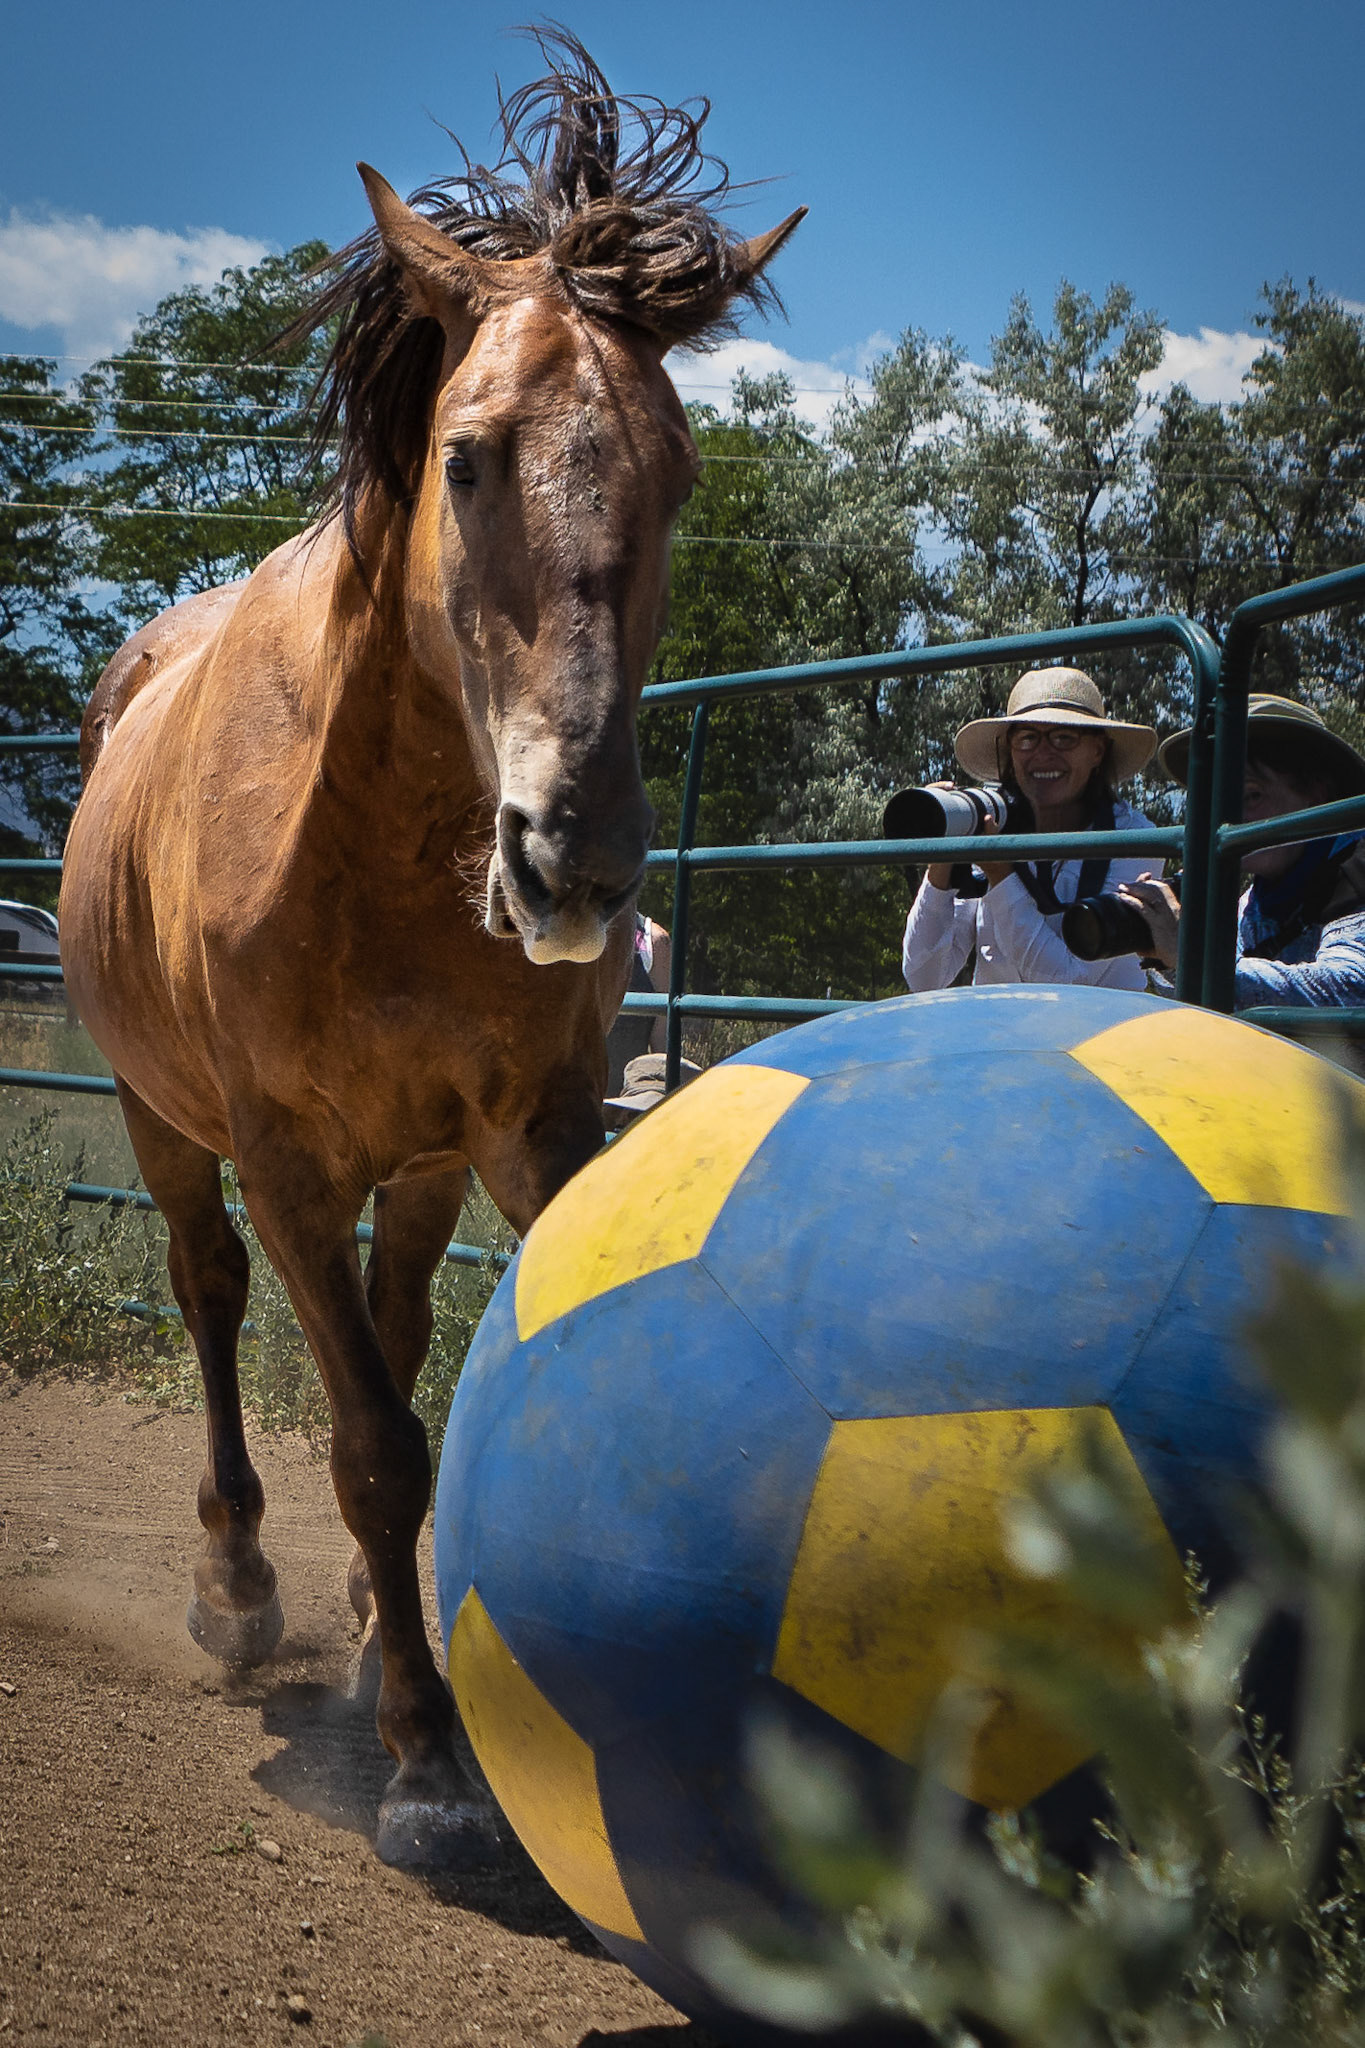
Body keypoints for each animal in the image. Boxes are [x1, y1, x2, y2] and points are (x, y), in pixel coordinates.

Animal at [59, 33, 804, 1870]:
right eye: (467, 458)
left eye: (679, 474)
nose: (577, 859)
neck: (381, 845)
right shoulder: (286, 1157)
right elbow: (383, 1451)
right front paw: (426, 1759)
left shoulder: (524, 1130)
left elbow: (459, 1389)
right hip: (165, 1124)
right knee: (213, 1298)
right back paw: (246, 1586)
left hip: (414, 1168)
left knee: (386, 1338)